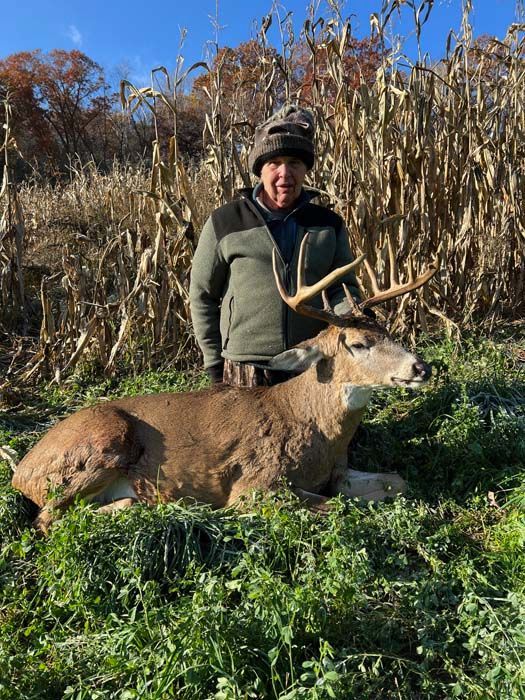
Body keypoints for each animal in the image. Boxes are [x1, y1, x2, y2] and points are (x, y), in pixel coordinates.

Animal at [12, 234, 437, 534]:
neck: (312, 426)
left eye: (390, 332)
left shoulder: (339, 472)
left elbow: (398, 482)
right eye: (359, 343)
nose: (421, 367)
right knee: (47, 519)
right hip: (100, 447)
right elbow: (333, 506)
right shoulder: (255, 483)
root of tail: (20, 473)